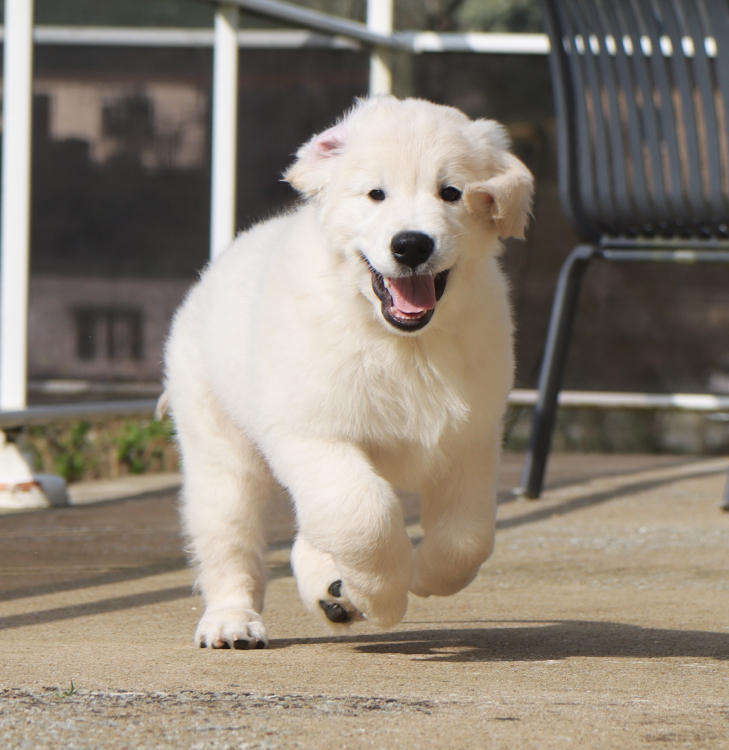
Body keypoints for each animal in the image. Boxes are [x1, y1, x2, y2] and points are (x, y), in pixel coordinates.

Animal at [164, 96, 533, 649]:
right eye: (375, 193)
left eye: (451, 192)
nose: (411, 245)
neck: (403, 345)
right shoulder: (313, 434)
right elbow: (363, 513)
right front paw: (382, 598)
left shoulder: (470, 437)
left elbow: (466, 539)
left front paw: (421, 577)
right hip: (219, 444)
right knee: (229, 535)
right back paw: (233, 622)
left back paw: (331, 593)